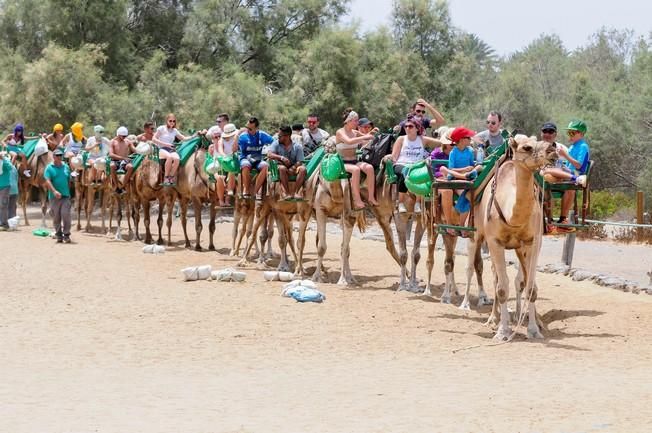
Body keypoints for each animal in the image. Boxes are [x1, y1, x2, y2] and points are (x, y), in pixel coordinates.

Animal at [464, 133, 556, 340]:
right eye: (527, 147)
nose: (552, 149)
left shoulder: (533, 242)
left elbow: (531, 287)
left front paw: (534, 330)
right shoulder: (495, 242)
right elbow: (502, 288)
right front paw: (502, 331)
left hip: (520, 248)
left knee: (520, 280)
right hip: (476, 235)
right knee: (477, 270)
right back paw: (481, 313)